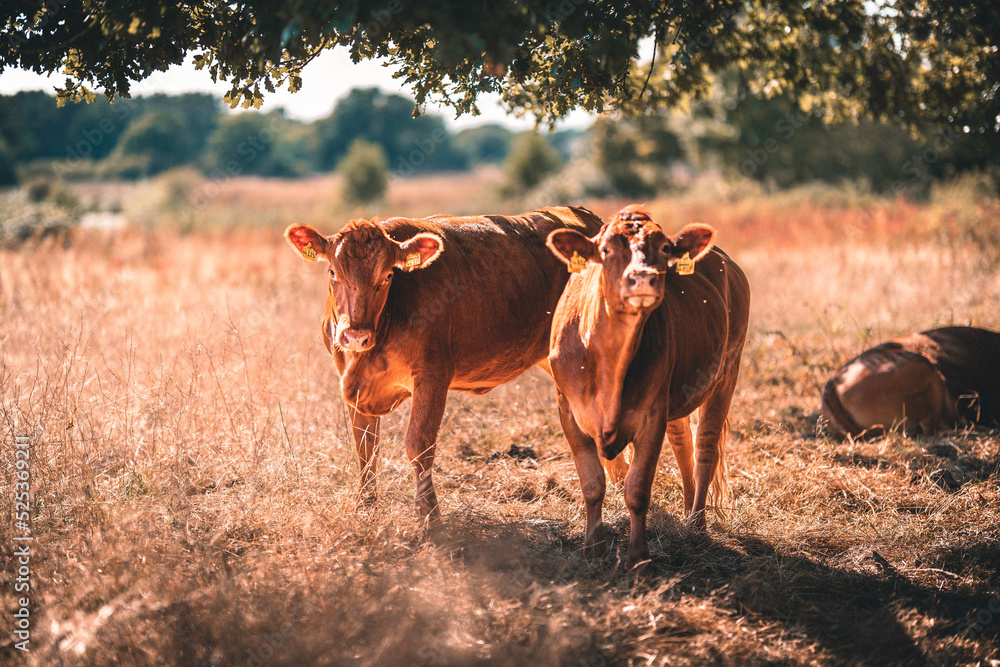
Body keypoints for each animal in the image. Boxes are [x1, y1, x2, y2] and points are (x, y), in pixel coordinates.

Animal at [284, 207, 606, 521]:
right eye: (332, 272)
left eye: (387, 276)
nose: (355, 335)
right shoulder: (352, 383)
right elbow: (365, 447)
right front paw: (365, 508)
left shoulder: (433, 375)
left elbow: (418, 444)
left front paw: (430, 518)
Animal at [545, 205, 750, 570]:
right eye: (605, 249)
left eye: (665, 248)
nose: (643, 277)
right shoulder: (567, 411)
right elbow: (592, 484)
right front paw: (593, 549)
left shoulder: (651, 415)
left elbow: (637, 489)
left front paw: (638, 558)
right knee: (683, 442)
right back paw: (687, 511)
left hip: (728, 369)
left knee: (705, 446)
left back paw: (697, 524)